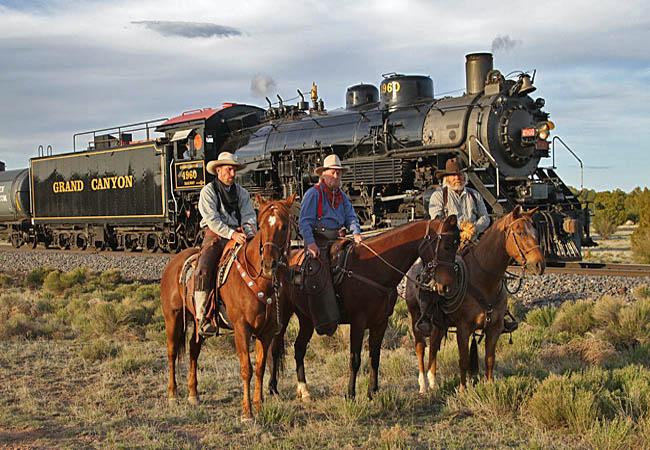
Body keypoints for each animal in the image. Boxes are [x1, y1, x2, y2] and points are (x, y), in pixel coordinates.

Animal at [159, 194, 294, 422]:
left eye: (284, 226)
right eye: (262, 226)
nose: (268, 264)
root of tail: (174, 262)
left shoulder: (266, 332)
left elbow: (260, 367)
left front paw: (259, 406)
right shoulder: (241, 328)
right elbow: (246, 368)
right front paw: (247, 412)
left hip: (199, 322)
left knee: (193, 350)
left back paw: (193, 394)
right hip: (173, 317)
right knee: (171, 352)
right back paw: (172, 394)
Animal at [268, 215, 460, 400]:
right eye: (446, 246)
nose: (446, 287)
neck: (373, 268)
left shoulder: (381, 322)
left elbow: (375, 356)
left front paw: (372, 392)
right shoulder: (358, 322)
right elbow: (355, 359)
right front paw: (350, 394)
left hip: (306, 318)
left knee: (299, 348)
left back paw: (304, 390)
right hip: (283, 315)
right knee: (275, 348)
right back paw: (273, 388)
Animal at [402, 206, 544, 392]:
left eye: (535, 231)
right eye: (520, 232)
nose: (540, 265)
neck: (484, 280)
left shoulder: (494, 328)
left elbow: (490, 359)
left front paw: (490, 387)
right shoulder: (463, 328)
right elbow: (464, 360)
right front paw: (463, 390)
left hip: (438, 323)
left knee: (433, 344)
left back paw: (433, 381)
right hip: (416, 316)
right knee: (420, 347)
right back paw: (423, 385)